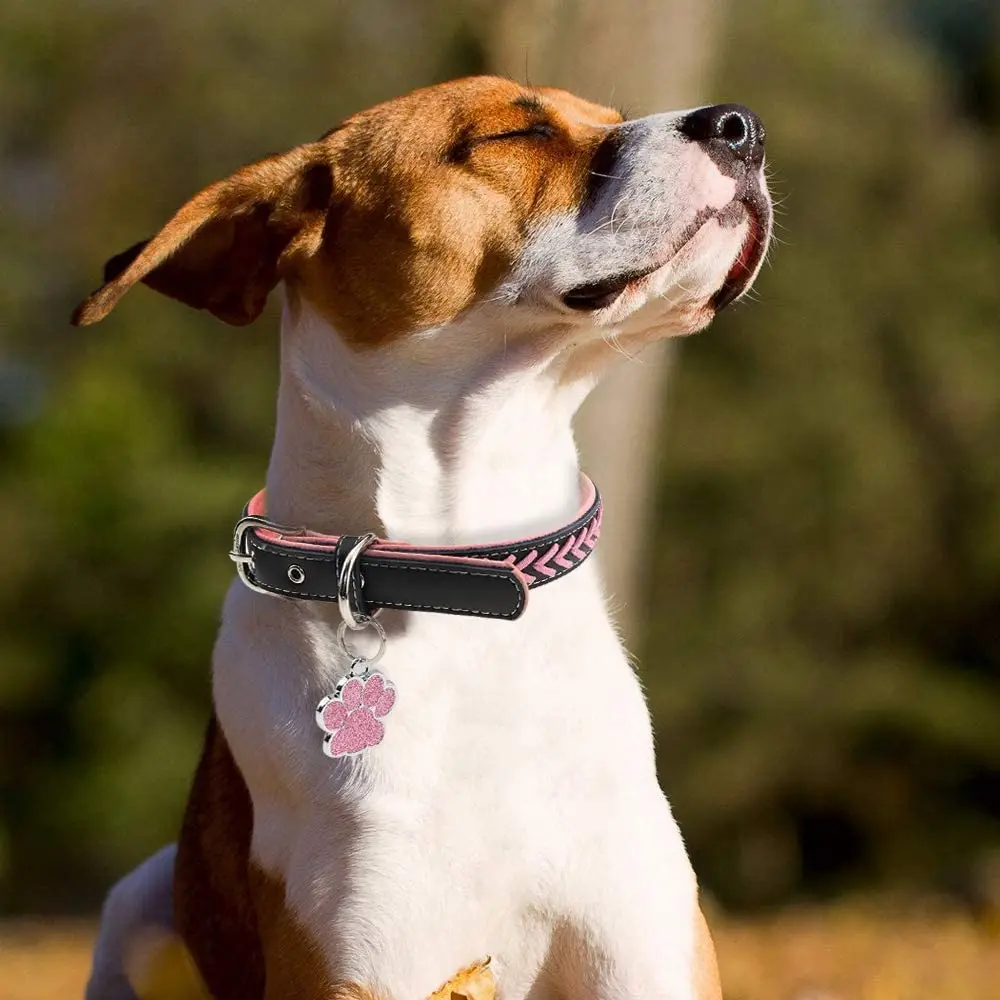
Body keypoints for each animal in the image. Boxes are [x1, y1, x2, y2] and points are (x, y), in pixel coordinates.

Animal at [72, 76, 772, 1000]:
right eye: (512, 133)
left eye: (610, 115)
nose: (743, 125)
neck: (464, 576)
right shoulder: (362, 961)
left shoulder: (645, 952)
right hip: (136, 910)